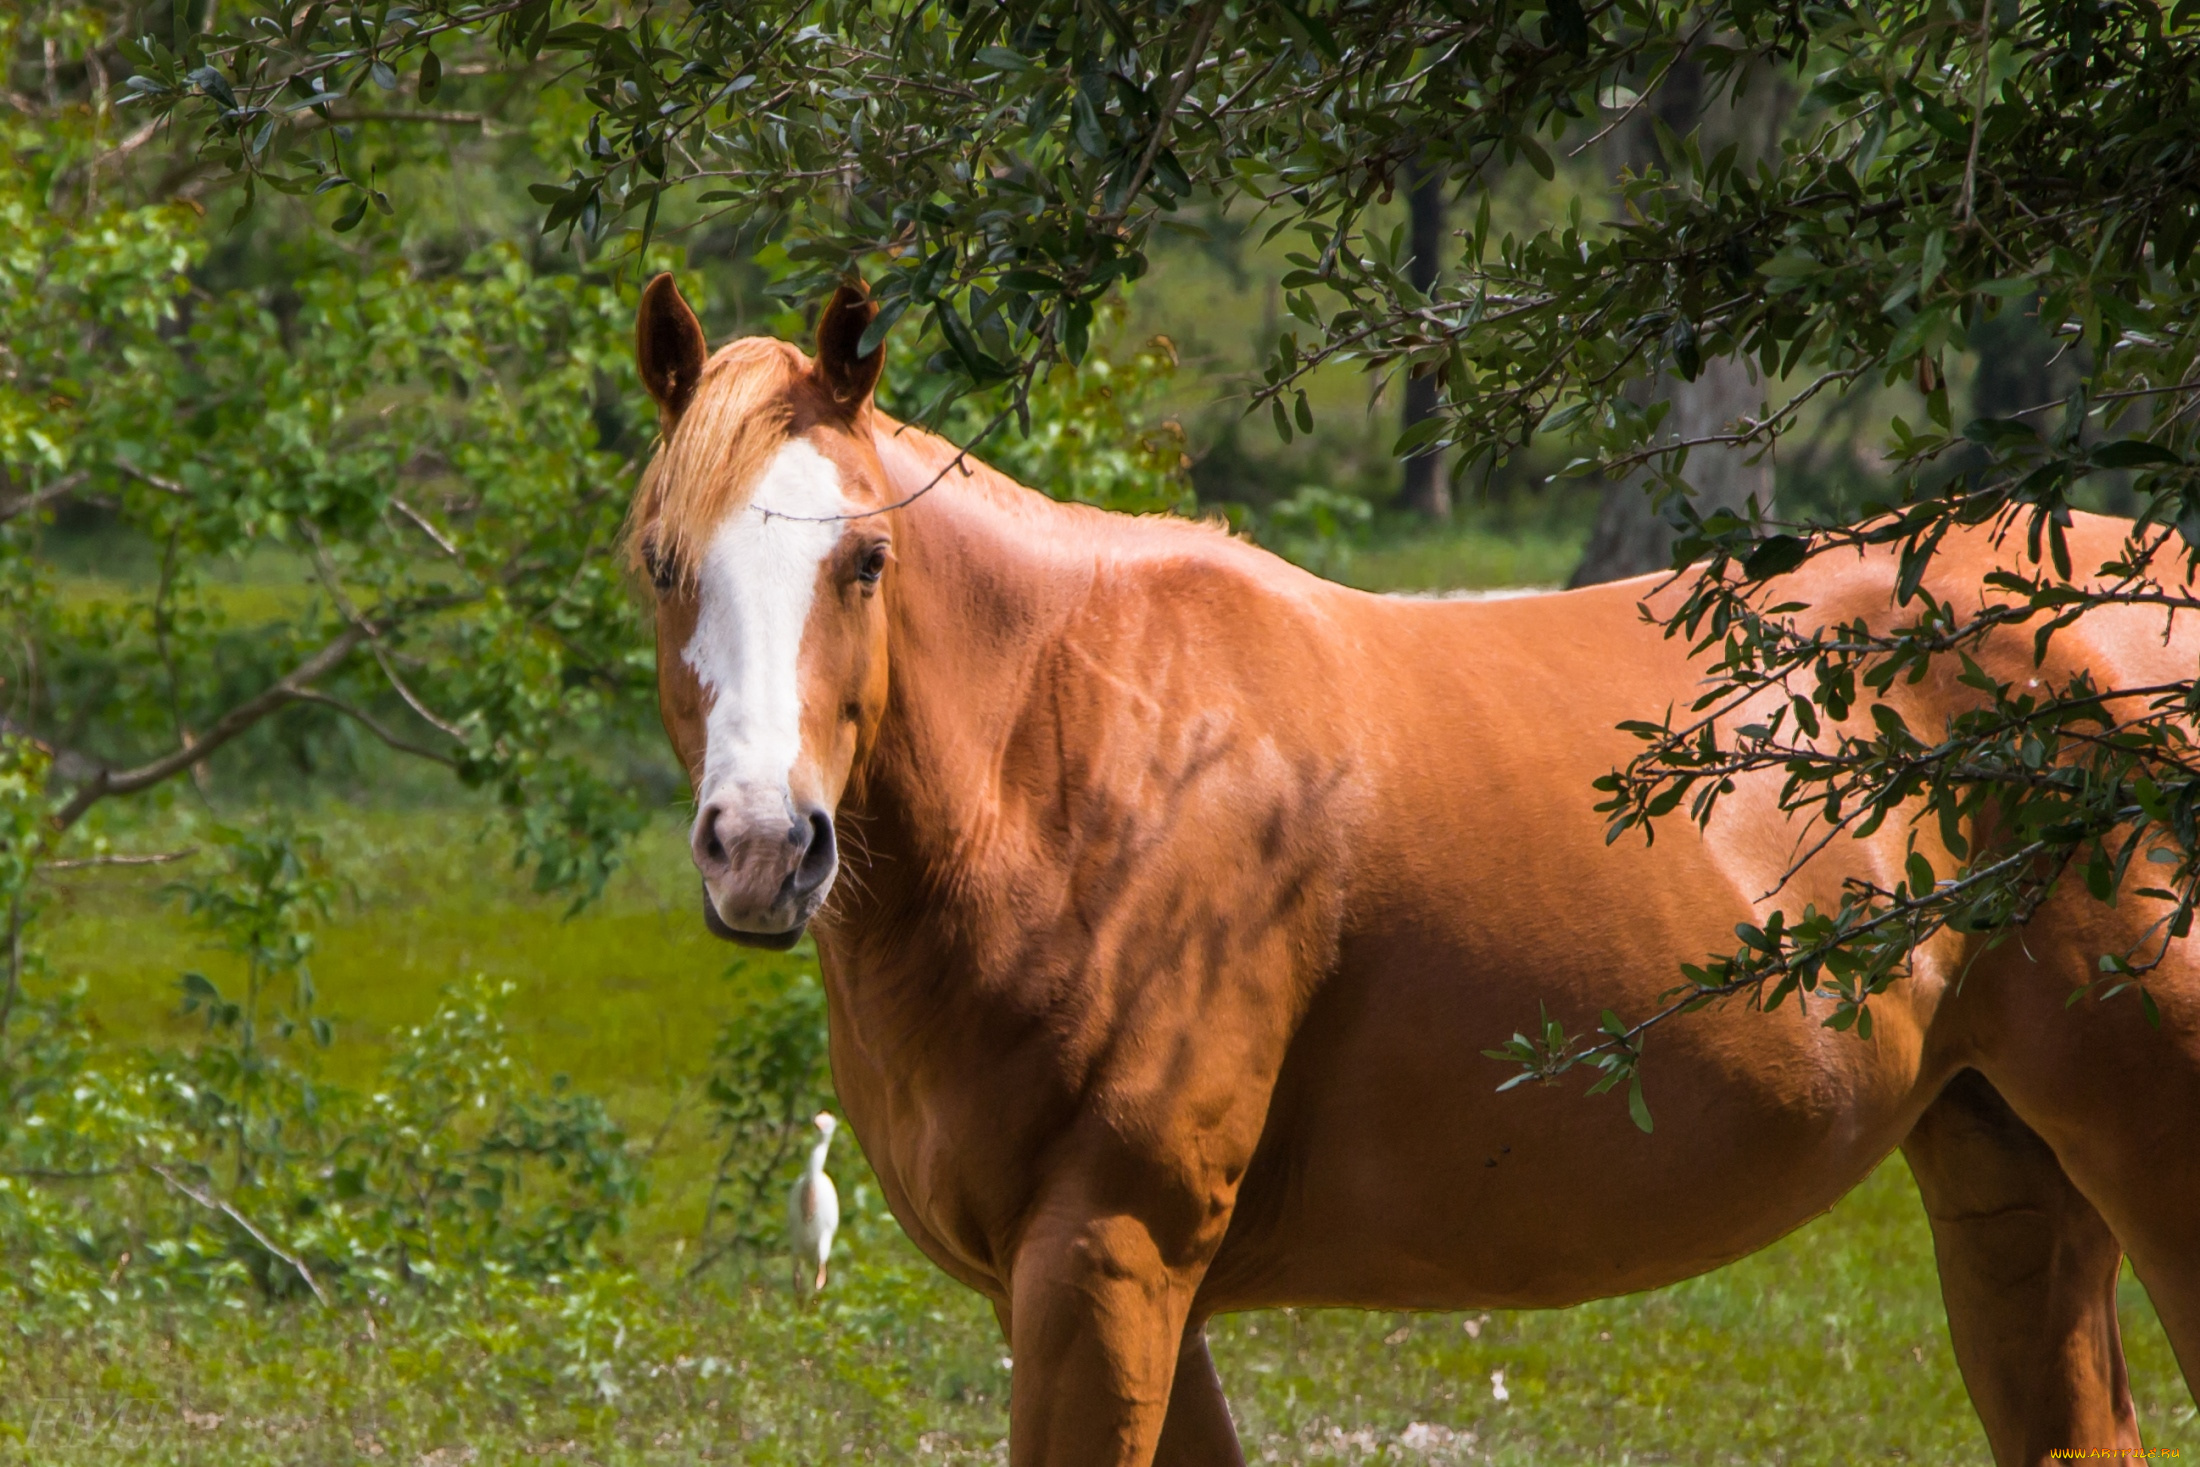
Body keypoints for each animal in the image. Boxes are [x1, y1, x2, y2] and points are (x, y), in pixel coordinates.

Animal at [624, 278, 2200, 1467]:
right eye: (659, 562)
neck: (1084, 763)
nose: (762, 845)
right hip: (2007, 1169)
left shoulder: (1105, 1263)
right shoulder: (1128, 1293)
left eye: (865, 560)